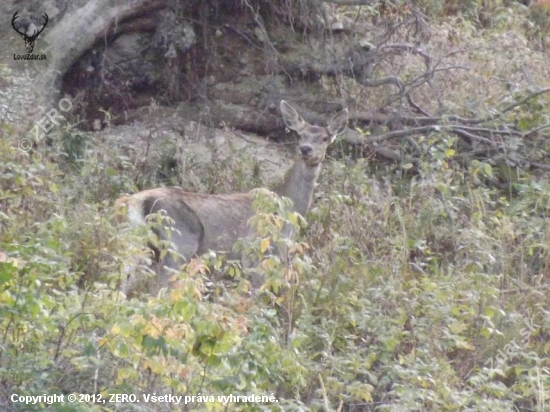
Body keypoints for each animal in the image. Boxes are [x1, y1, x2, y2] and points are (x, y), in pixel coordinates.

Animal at [116, 101, 350, 294]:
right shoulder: (258, 252)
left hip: (139, 246)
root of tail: (135, 202)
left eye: (325, 138)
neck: (289, 206)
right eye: (300, 135)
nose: (306, 149)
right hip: (179, 244)